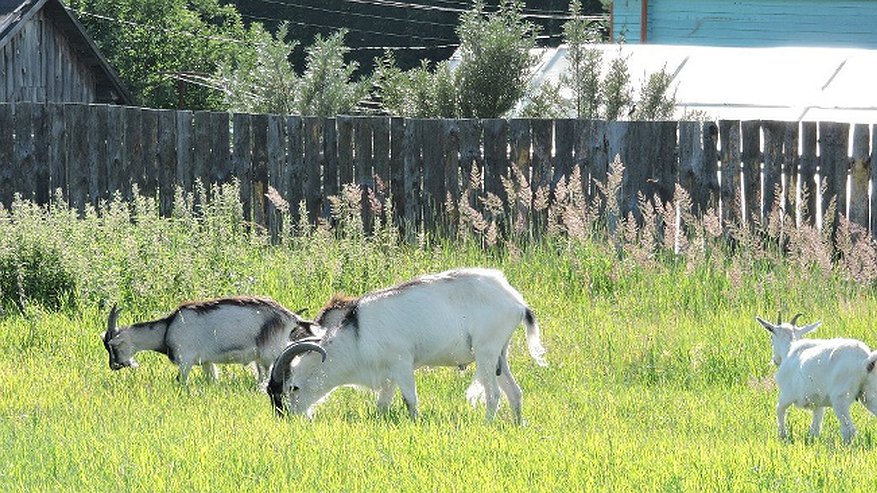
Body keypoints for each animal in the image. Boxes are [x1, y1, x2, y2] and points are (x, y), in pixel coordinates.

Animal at [101, 294, 318, 382]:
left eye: (113, 347)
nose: (114, 365)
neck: (167, 328)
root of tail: (290, 317)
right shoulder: (206, 361)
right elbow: (211, 379)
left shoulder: (185, 359)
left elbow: (180, 381)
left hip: (270, 353)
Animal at [266, 268, 548, 424]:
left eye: (293, 387)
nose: (290, 418)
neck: (358, 334)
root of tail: (517, 302)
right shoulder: (388, 373)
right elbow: (383, 404)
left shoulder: (402, 364)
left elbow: (410, 400)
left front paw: (415, 423)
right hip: (500, 355)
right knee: (514, 392)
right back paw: (518, 425)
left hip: (486, 352)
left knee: (494, 395)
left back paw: (486, 425)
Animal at [752, 312, 876, 442]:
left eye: (772, 337)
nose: (775, 360)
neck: (790, 350)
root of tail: (865, 360)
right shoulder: (818, 404)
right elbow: (815, 427)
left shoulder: (787, 394)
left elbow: (779, 409)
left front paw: (783, 437)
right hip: (869, 393)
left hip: (840, 398)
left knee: (849, 430)